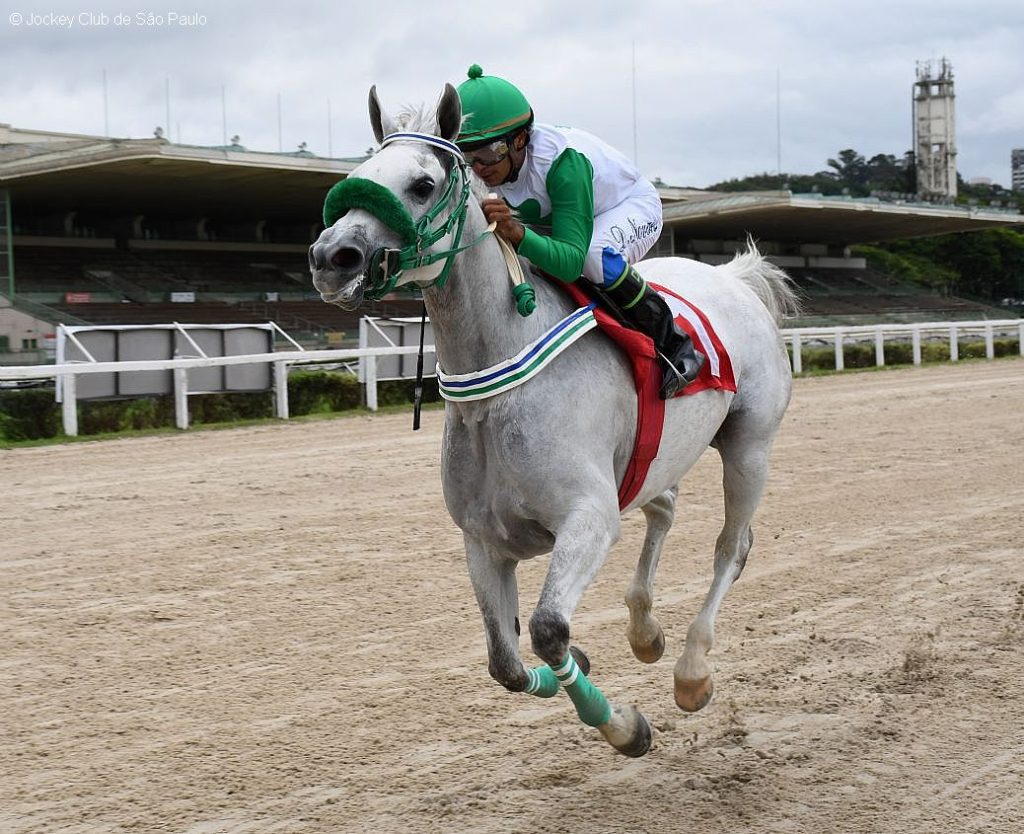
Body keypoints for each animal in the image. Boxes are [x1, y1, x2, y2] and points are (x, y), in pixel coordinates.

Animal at [307, 83, 794, 758]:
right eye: (355, 179)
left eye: (423, 184)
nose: (332, 257)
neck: (496, 393)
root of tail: (732, 275)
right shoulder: (483, 539)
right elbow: (505, 663)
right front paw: (587, 661)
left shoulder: (587, 519)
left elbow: (545, 628)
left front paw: (624, 727)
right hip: (654, 456)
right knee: (664, 508)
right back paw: (645, 631)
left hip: (750, 444)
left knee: (732, 548)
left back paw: (692, 671)